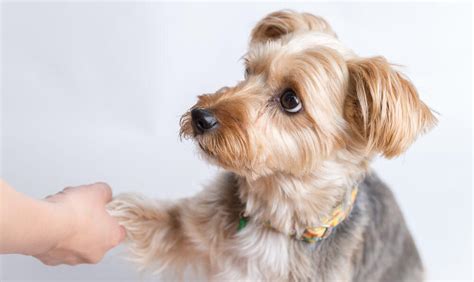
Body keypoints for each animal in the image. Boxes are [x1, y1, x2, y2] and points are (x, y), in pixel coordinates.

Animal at [108, 9, 436, 280]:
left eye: (290, 100)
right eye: (248, 71)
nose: (200, 116)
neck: (274, 216)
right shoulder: (187, 228)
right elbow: (146, 215)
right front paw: (108, 208)